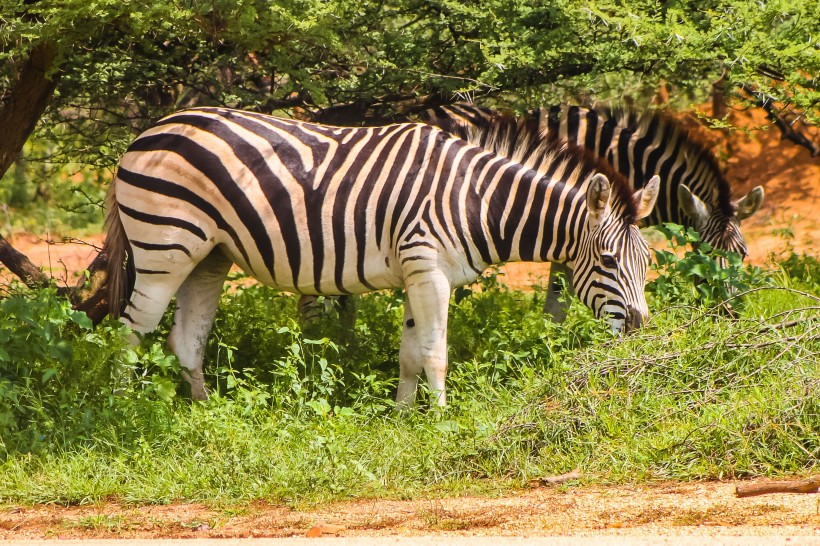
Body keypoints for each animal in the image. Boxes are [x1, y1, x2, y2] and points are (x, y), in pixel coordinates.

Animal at [102, 107, 660, 404]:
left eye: (647, 264)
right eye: (609, 262)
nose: (639, 329)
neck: (476, 200)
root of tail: (149, 130)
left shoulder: (419, 273)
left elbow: (410, 353)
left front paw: (402, 416)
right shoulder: (428, 268)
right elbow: (435, 352)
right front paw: (440, 422)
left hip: (208, 256)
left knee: (185, 340)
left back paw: (203, 412)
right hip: (164, 249)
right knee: (128, 334)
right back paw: (124, 412)